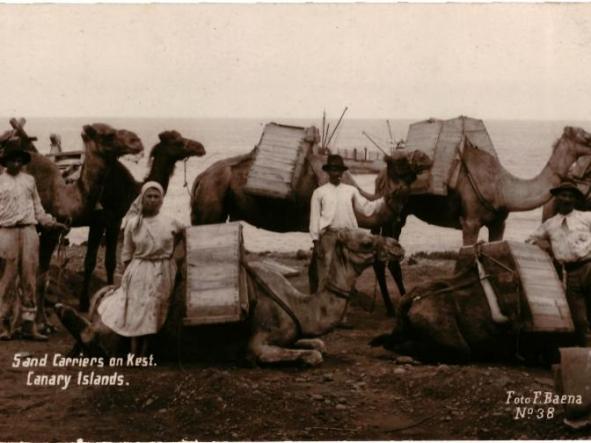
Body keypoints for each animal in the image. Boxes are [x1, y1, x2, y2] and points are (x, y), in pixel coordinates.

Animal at [81, 131, 206, 312]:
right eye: (177, 141)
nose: (200, 147)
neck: (129, 190)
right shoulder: (98, 220)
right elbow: (90, 261)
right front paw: (83, 303)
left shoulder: (115, 219)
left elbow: (110, 260)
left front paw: (109, 292)